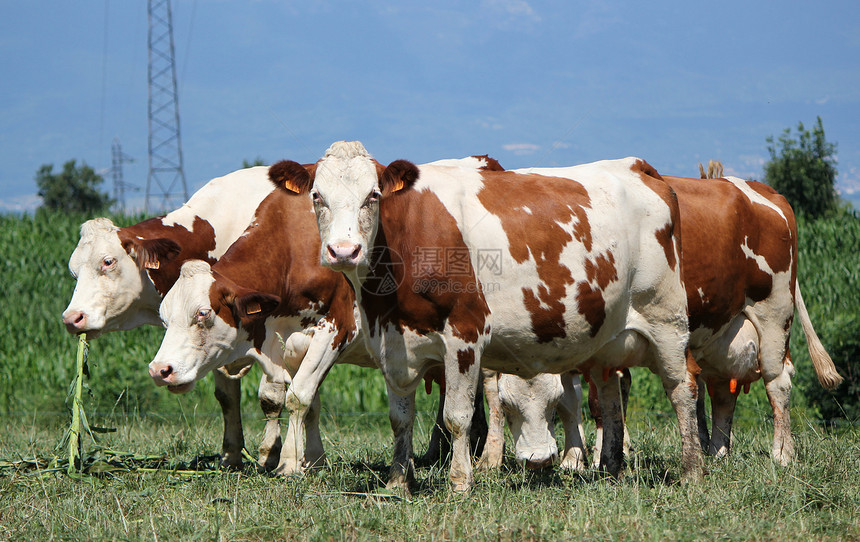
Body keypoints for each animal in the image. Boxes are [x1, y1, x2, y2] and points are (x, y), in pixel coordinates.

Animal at [60, 167, 284, 472]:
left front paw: (275, 455)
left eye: (108, 262)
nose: (72, 318)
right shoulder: (213, 343)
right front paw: (231, 457)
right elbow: (228, 397)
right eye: (73, 271)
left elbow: (273, 393)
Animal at [272, 142, 704, 496]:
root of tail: (637, 165)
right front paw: (397, 482)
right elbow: (400, 418)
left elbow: (457, 417)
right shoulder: (391, 343)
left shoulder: (465, 334)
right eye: (317, 196)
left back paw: (691, 471)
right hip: (608, 338)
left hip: (666, 320)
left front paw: (460, 482)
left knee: (681, 388)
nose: (344, 251)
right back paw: (611, 470)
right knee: (611, 395)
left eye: (373, 196)